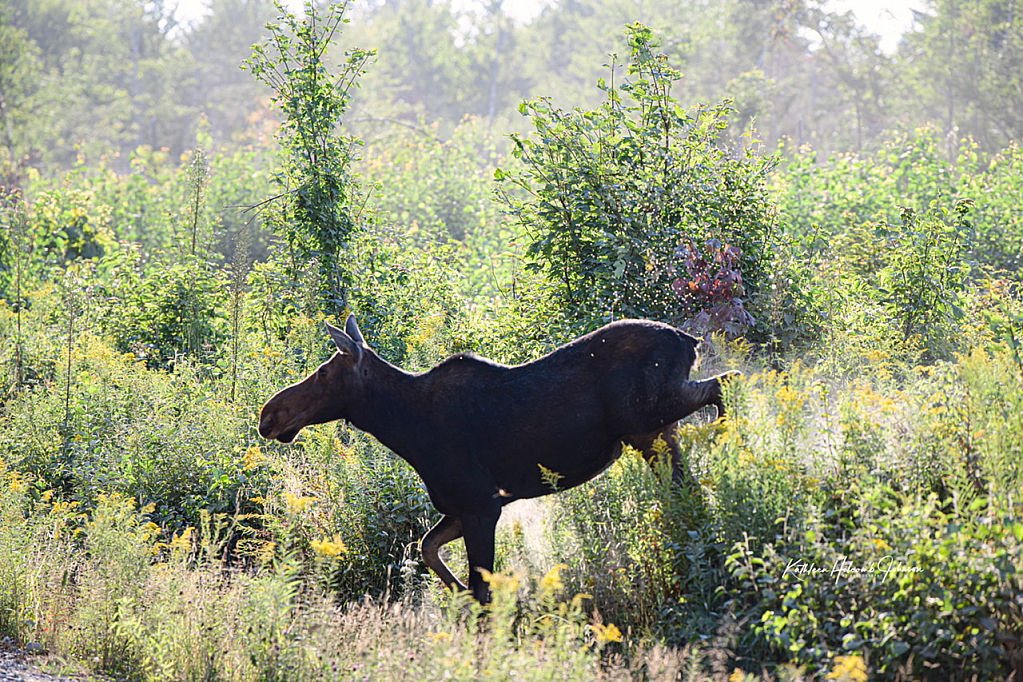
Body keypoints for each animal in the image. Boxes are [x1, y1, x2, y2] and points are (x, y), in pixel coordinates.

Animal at [255, 314, 736, 601]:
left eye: (323, 374)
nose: (268, 415)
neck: (404, 428)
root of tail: (689, 340)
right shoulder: (465, 506)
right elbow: (427, 548)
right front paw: (455, 594)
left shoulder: (479, 506)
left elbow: (480, 589)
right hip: (653, 434)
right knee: (688, 487)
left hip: (647, 416)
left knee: (723, 382)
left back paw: (728, 437)